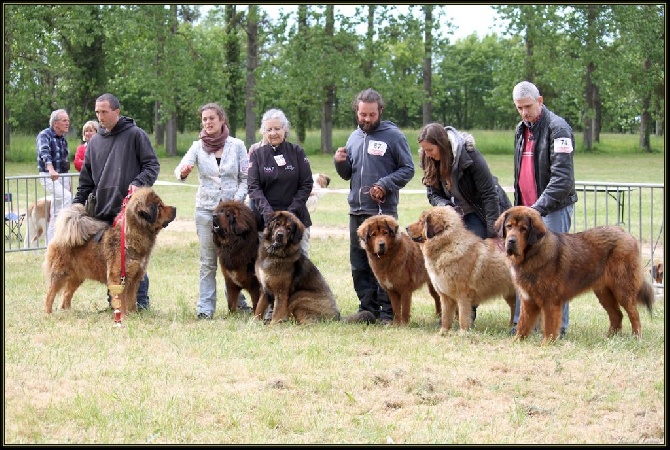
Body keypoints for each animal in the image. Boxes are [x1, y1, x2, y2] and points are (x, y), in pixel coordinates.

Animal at [42, 188, 176, 318]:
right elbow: (121, 300)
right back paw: (48, 313)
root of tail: (60, 236)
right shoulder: (118, 278)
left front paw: (134, 315)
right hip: (59, 274)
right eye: (159, 206)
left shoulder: (134, 278)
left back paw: (67, 311)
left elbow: (132, 300)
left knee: (66, 294)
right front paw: (123, 317)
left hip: (77, 277)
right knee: (50, 294)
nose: (175, 208)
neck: (131, 236)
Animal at [498, 206, 656, 342]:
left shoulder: (550, 301)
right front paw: (516, 342)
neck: (532, 254)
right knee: (617, 315)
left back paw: (637, 337)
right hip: (604, 292)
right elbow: (523, 325)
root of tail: (625, 232)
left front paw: (546, 344)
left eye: (523, 229)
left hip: (622, 289)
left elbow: (549, 326)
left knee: (634, 314)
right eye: (509, 226)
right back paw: (609, 337)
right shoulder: (528, 300)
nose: (511, 241)